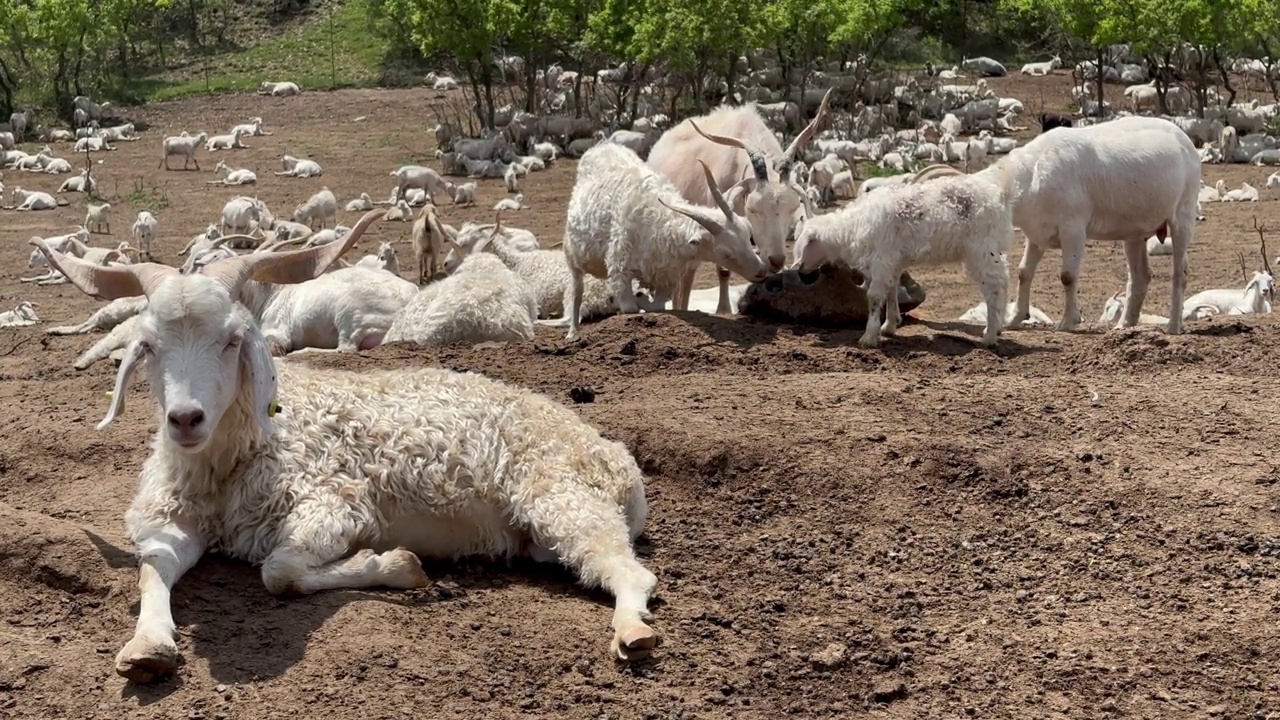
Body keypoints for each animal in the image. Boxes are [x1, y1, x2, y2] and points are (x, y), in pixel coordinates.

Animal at [28, 210, 660, 681]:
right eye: (150, 345)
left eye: (232, 340)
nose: (186, 418)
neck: (235, 461)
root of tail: (617, 460)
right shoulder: (174, 517)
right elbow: (152, 567)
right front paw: (148, 646)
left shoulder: (331, 504)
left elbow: (279, 572)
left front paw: (397, 566)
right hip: (542, 534)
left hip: (563, 496)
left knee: (633, 574)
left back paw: (633, 632)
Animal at [563, 144, 762, 340]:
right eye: (725, 253)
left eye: (748, 235)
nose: (761, 272)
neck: (661, 220)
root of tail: (601, 147)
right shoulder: (620, 268)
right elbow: (630, 308)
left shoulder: (664, 275)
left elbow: (657, 306)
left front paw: (642, 298)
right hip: (573, 257)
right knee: (576, 292)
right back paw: (573, 332)